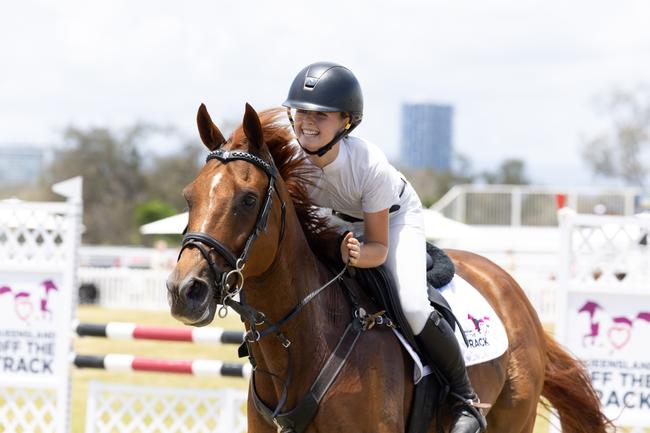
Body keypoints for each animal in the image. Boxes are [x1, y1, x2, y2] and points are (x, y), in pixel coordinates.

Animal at [165, 104, 612, 432]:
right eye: (189, 197)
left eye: (247, 198)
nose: (184, 292)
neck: (300, 347)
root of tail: (510, 287)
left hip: (512, 419)